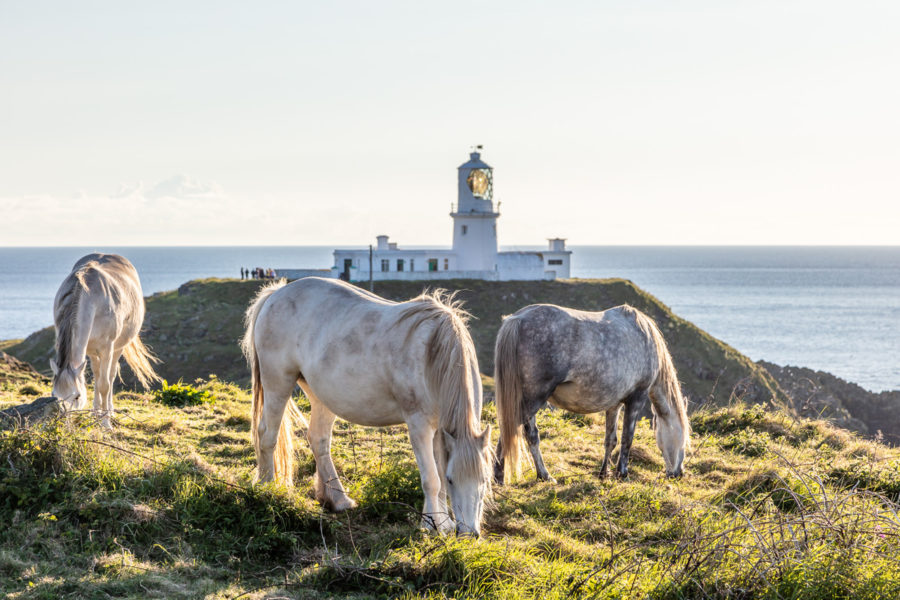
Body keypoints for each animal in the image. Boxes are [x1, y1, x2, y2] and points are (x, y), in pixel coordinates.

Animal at [51, 252, 161, 426]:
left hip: (117, 348)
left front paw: (106, 423)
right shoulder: (89, 349)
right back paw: (96, 412)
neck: (89, 297)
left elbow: (105, 385)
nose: (64, 422)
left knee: (110, 376)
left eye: (77, 396)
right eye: (54, 395)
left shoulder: (107, 348)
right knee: (97, 375)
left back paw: (109, 411)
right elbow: (96, 380)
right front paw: (97, 415)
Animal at [241, 276, 492, 536]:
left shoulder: (438, 429)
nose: (470, 533)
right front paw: (434, 526)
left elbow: (438, 474)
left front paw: (440, 523)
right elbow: (433, 478)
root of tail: (276, 293)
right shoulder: (419, 426)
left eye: (484, 479)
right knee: (267, 435)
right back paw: (268, 489)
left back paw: (338, 500)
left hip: (321, 397)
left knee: (318, 440)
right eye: (454, 479)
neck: (433, 354)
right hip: (277, 384)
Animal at [492, 304, 688, 482]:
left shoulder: (614, 405)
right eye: (685, 439)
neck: (645, 338)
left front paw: (604, 473)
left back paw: (540, 475)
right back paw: (504, 476)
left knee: (530, 435)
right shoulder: (636, 399)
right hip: (533, 399)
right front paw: (622, 473)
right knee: (512, 432)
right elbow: (627, 438)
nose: (678, 473)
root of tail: (517, 319)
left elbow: (611, 440)